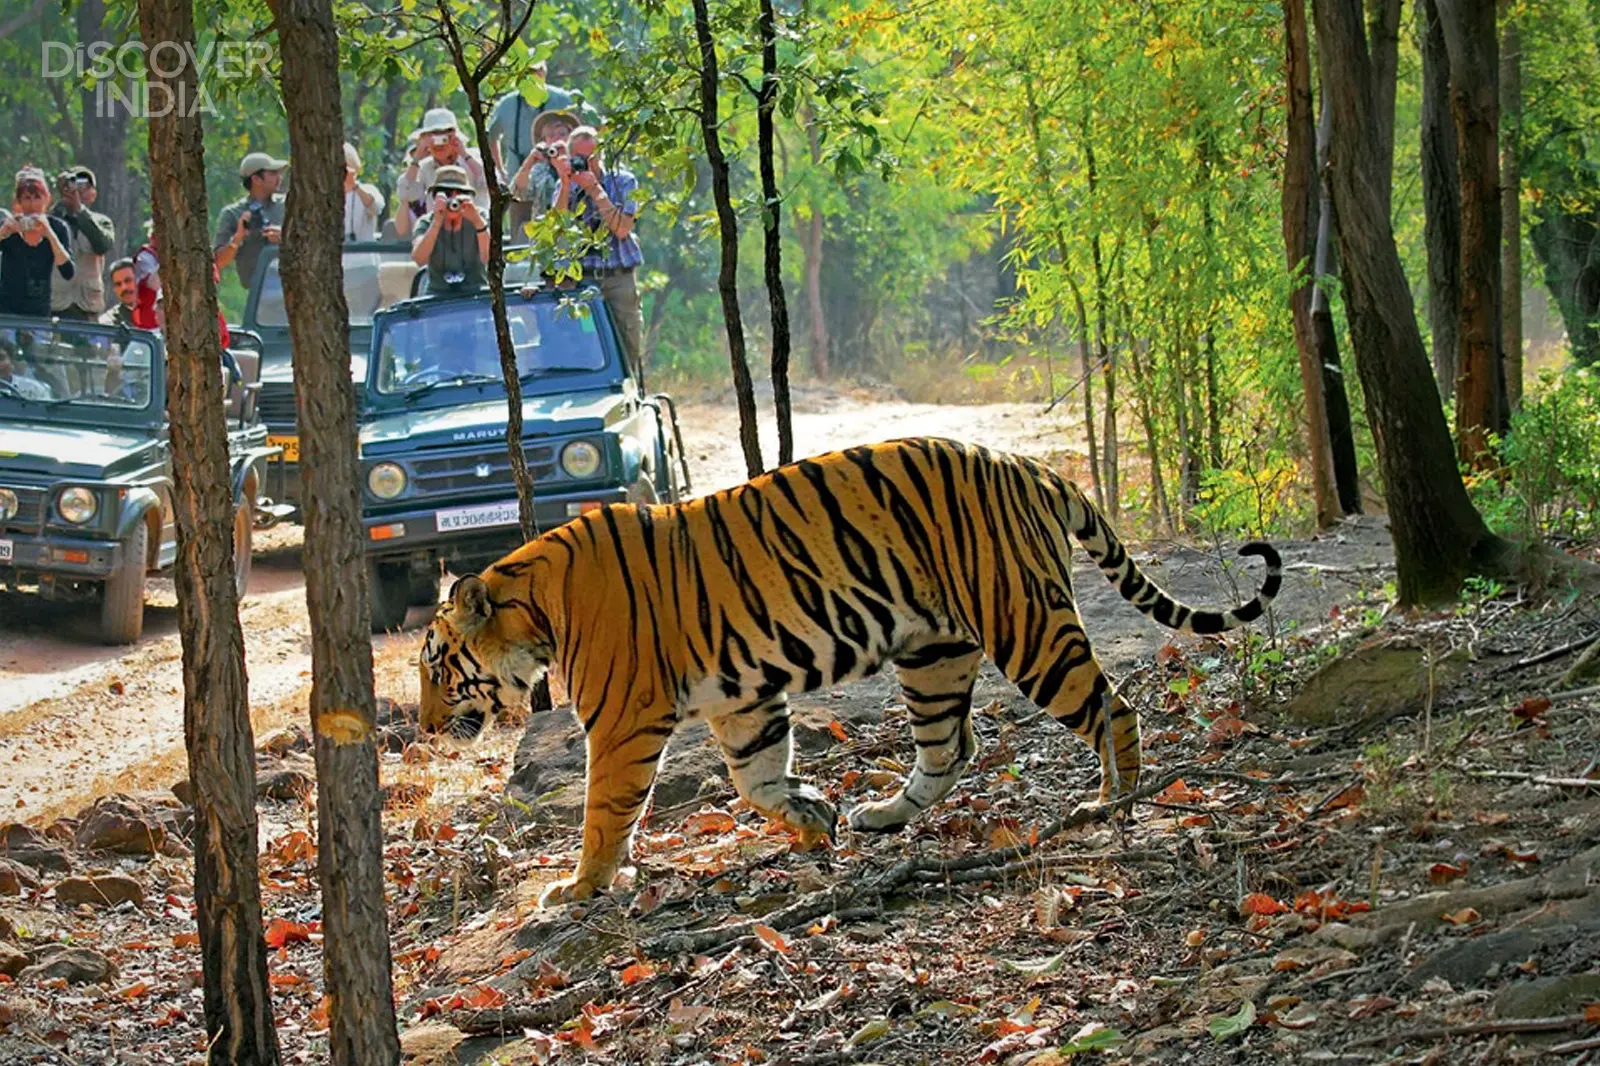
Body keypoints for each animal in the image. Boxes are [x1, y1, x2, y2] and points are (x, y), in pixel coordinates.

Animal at [418, 437, 1281, 906]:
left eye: (434, 665)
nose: (423, 730)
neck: (535, 608)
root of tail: (1030, 465)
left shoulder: (625, 722)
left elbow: (605, 812)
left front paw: (579, 887)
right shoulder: (741, 701)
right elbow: (755, 777)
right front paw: (813, 817)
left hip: (1024, 625)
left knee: (1114, 707)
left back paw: (1113, 801)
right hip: (933, 652)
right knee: (951, 748)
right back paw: (882, 816)